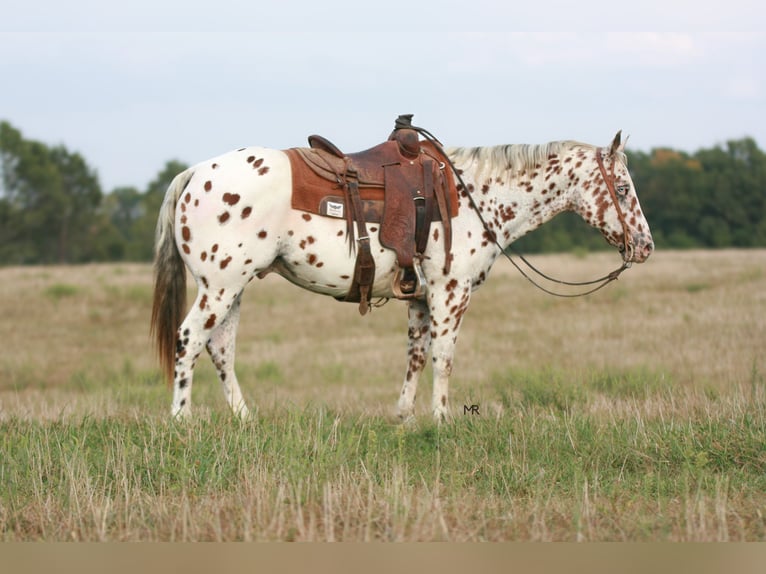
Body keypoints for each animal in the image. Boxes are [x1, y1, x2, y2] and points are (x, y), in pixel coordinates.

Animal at [151, 127, 653, 422]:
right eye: (622, 187)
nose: (646, 246)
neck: (474, 194)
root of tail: (194, 174)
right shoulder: (452, 292)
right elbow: (444, 357)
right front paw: (443, 421)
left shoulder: (420, 298)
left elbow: (416, 355)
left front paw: (406, 418)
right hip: (219, 288)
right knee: (189, 340)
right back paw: (181, 423)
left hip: (231, 289)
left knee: (220, 349)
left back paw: (245, 421)